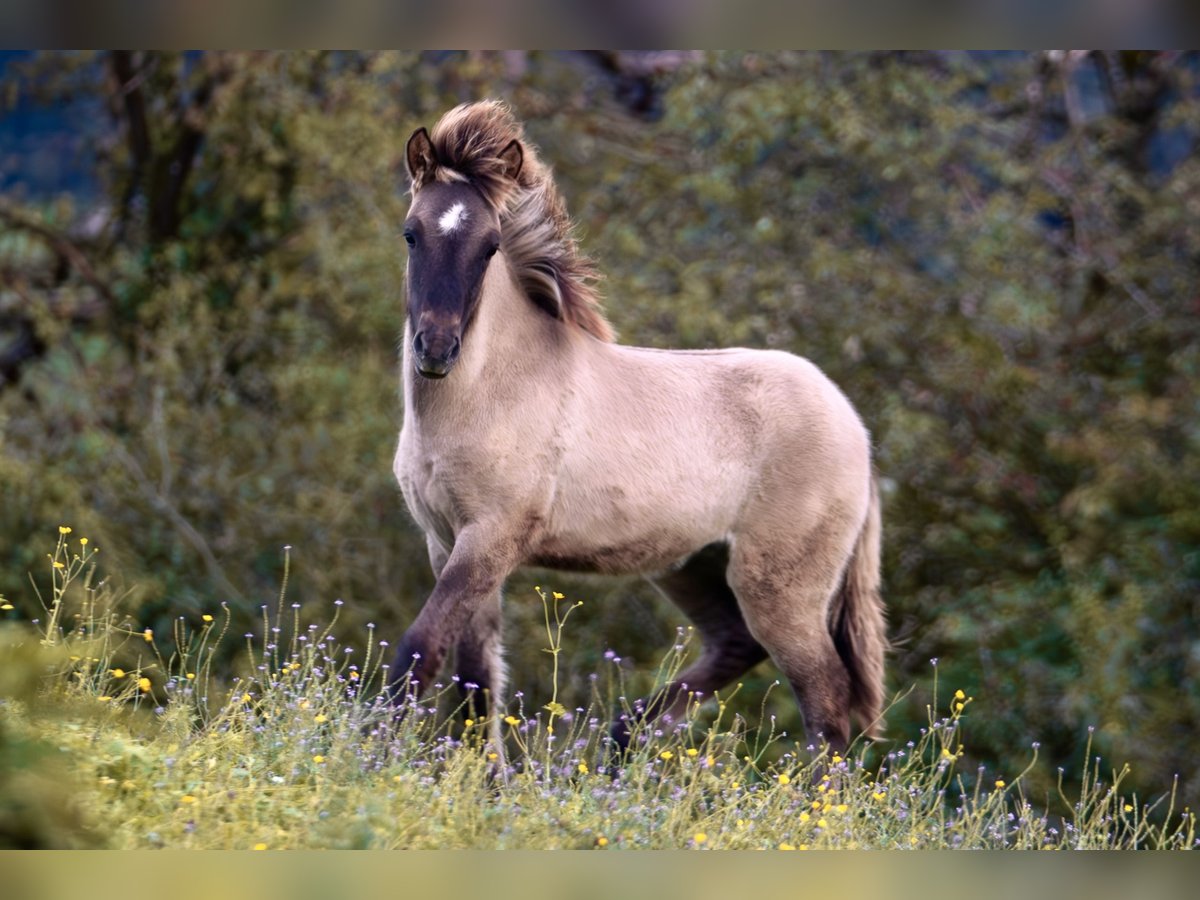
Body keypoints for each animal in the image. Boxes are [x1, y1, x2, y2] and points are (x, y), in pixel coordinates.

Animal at [388, 100, 888, 763]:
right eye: (411, 233)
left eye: (490, 245)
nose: (437, 348)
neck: (489, 393)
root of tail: (855, 428)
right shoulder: (446, 540)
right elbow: (475, 679)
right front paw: (480, 776)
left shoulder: (491, 538)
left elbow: (419, 652)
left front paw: (367, 749)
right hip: (693, 564)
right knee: (737, 645)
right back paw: (620, 742)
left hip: (781, 587)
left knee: (827, 704)